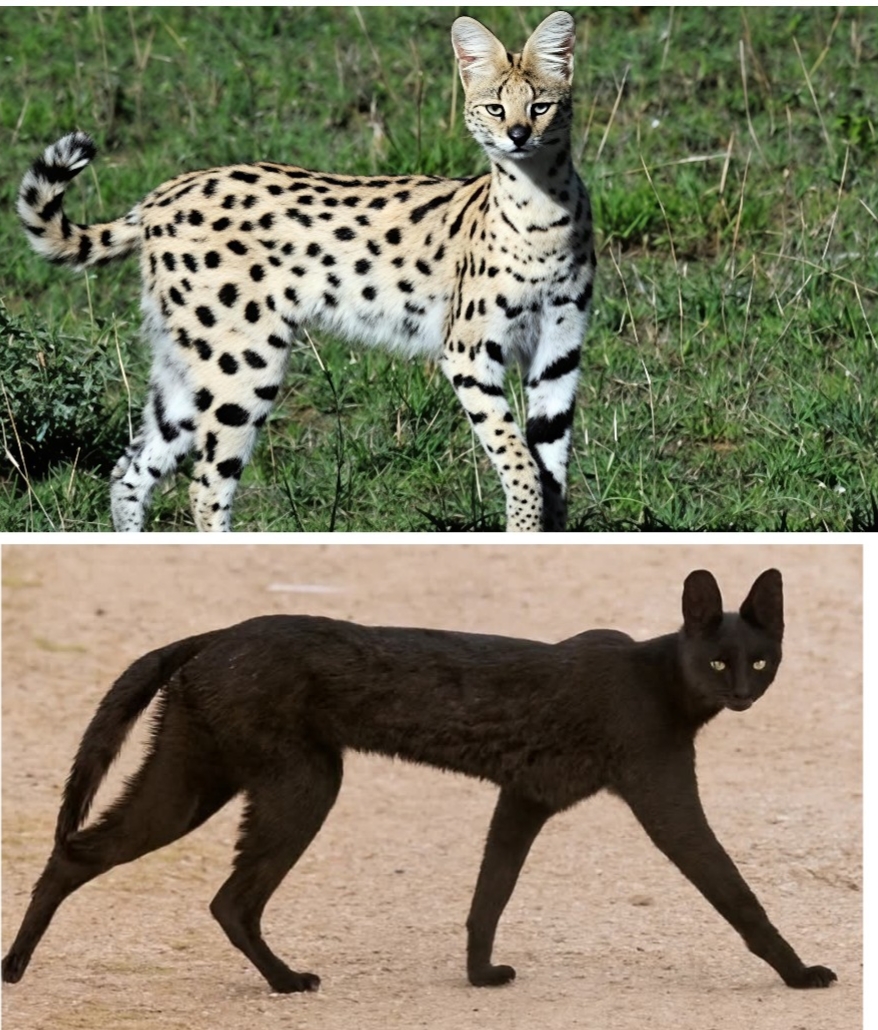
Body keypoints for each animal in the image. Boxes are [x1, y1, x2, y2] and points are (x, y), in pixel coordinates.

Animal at [17, 11, 595, 532]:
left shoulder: (558, 353)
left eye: (541, 106)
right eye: (495, 107)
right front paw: (524, 525)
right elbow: (519, 461)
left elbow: (553, 466)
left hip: (187, 370)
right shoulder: (469, 353)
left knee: (130, 470)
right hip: (243, 364)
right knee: (204, 486)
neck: (542, 207)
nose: (518, 134)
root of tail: (159, 196)